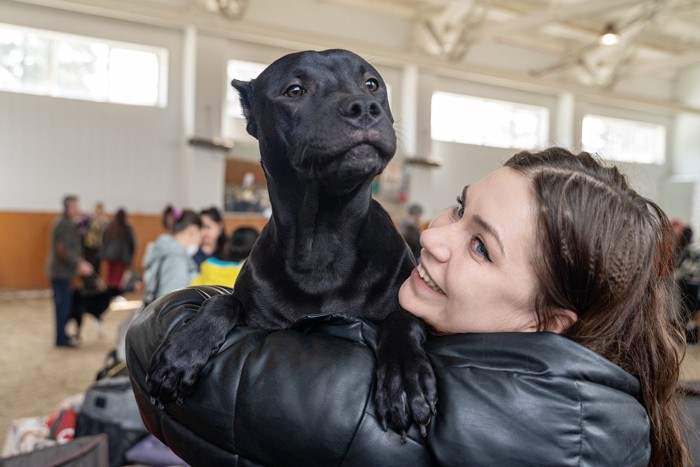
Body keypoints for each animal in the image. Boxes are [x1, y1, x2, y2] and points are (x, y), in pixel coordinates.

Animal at [148, 49, 438, 440]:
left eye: (372, 84)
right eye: (295, 90)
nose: (364, 106)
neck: (323, 237)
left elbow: (402, 319)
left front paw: (405, 380)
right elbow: (222, 302)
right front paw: (182, 350)